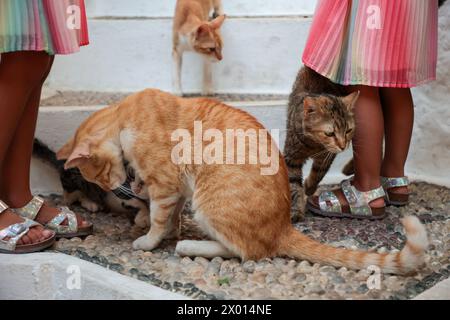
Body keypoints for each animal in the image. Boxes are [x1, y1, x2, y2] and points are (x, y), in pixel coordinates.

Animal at [57, 89, 428, 274]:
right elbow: (171, 215)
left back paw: (189, 247)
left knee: (247, 252)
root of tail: (283, 225)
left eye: (100, 175)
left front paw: (148, 239)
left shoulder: (165, 184)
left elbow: (160, 219)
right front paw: (162, 227)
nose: (111, 188)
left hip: (209, 202)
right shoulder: (177, 188)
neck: (124, 118)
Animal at [284, 65, 358, 220]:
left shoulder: (327, 156)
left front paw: (309, 187)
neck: (313, 144)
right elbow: (293, 185)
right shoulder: (292, 158)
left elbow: (319, 173)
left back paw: (349, 168)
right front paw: (296, 210)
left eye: (348, 130)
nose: (343, 146)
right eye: (330, 133)